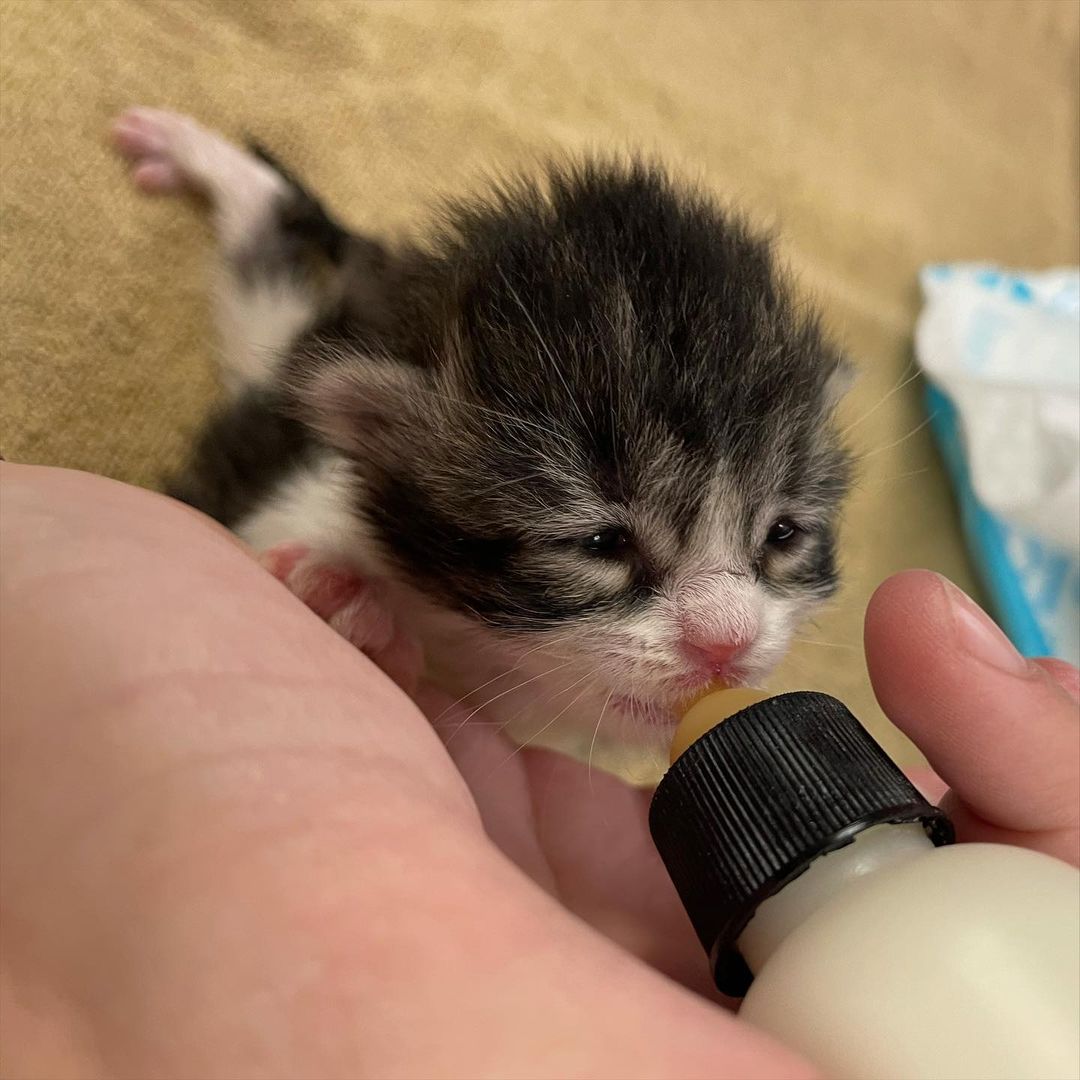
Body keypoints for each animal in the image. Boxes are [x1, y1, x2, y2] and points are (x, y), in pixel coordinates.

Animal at [111, 105, 851, 756]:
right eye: (601, 543)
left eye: (783, 535)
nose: (727, 643)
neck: (480, 664)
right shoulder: (286, 498)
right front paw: (346, 609)